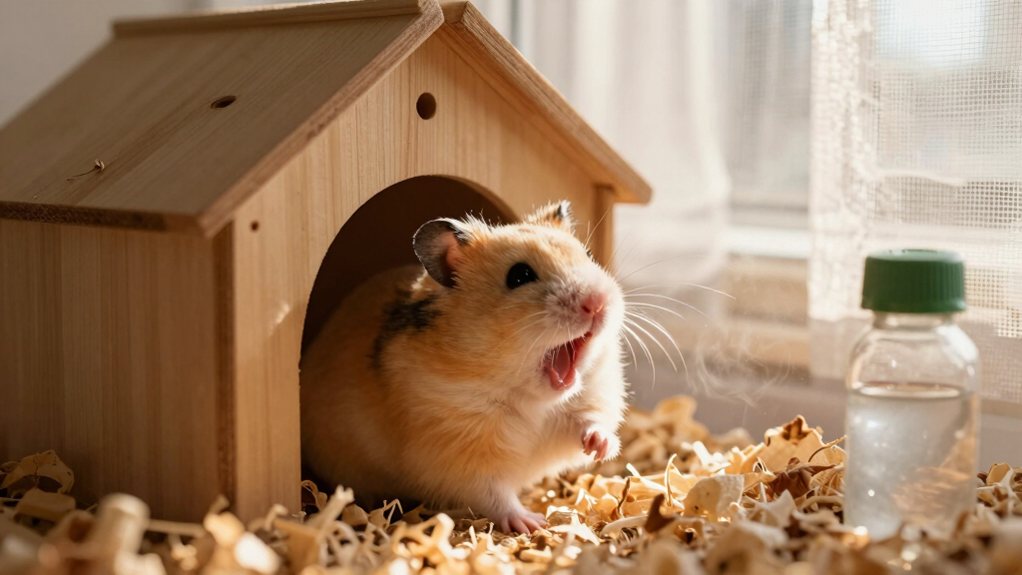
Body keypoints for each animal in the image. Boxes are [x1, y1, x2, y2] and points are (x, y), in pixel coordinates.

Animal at [300, 200, 627, 534]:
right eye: (519, 275)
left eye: (587, 256)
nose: (597, 302)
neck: (527, 396)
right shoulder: (459, 453)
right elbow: (492, 493)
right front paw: (531, 524)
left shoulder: (586, 398)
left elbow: (588, 421)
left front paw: (600, 446)